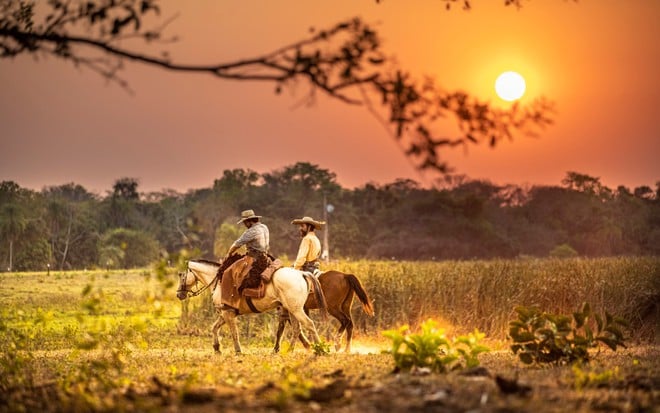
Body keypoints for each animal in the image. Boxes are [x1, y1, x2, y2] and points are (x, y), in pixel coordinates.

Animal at [178, 258, 328, 350]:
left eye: (182, 275)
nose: (179, 294)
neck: (220, 282)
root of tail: (301, 273)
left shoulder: (228, 314)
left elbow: (234, 333)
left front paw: (238, 351)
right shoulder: (225, 314)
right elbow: (214, 328)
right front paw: (217, 348)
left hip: (296, 310)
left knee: (309, 324)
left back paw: (319, 349)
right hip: (292, 310)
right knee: (297, 329)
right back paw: (290, 350)